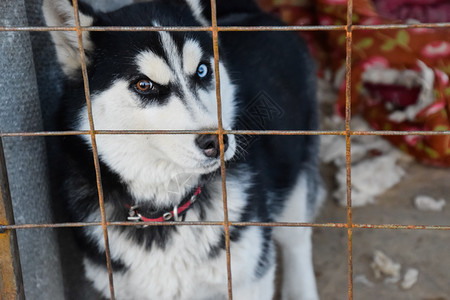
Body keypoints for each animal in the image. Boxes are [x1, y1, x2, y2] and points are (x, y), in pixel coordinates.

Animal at [43, 0, 324, 298]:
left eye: (202, 70)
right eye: (144, 84)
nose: (217, 141)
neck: (167, 210)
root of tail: (251, 13)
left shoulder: (249, 279)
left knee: (297, 239)